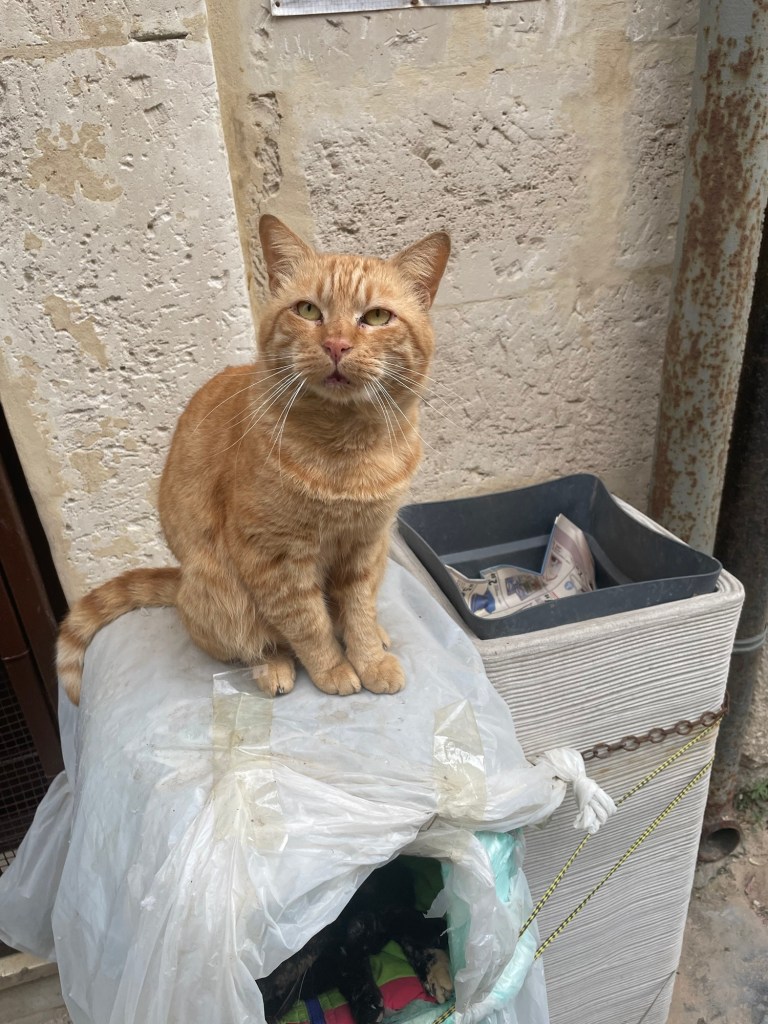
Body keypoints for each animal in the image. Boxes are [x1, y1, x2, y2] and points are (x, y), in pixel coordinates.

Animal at [57, 215, 450, 703]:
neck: (346, 446)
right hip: (222, 593)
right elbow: (308, 624)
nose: (337, 345)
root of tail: (180, 582)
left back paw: (377, 637)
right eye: (308, 311)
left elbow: (356, 613)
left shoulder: (364, 547)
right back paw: (273, 668)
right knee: (256, 643)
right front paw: (334, 670)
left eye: (376, 316)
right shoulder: (274, 557)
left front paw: (370, 659)